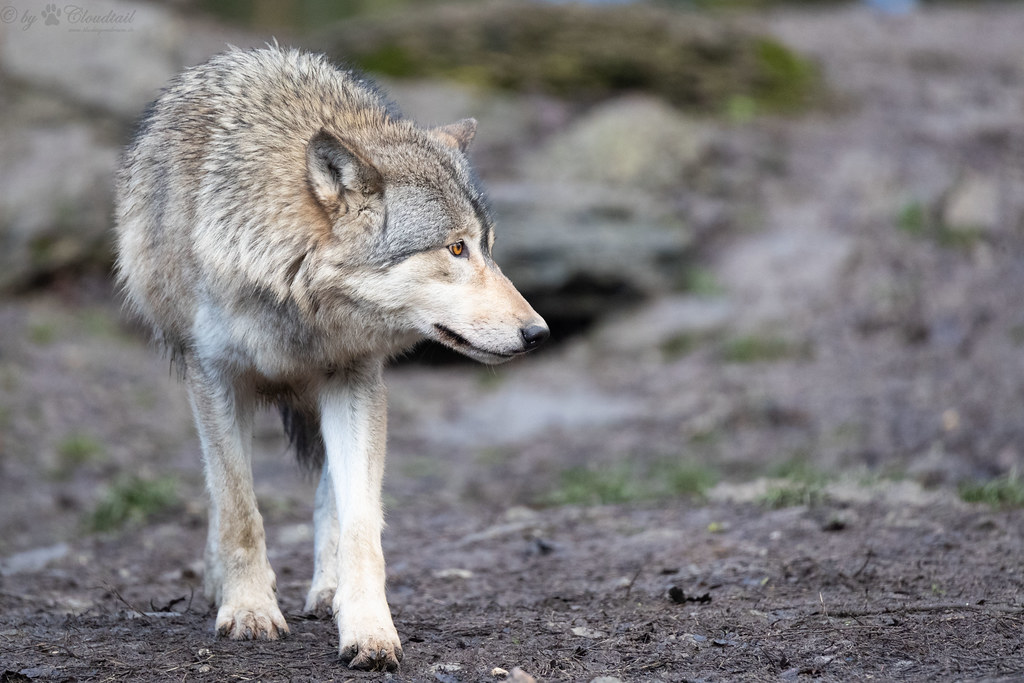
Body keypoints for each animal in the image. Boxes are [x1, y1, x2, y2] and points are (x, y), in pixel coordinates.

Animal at [114, 45, 548, 671]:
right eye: (455, 248)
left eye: (487, 248)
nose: (539, 332)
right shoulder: (215, 377)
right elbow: (239, 507)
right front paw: (249, 609)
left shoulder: (355, 377)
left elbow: (361, 522)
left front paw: (368, 628)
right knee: (223, 495)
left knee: (331, 499)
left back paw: (328, 589)